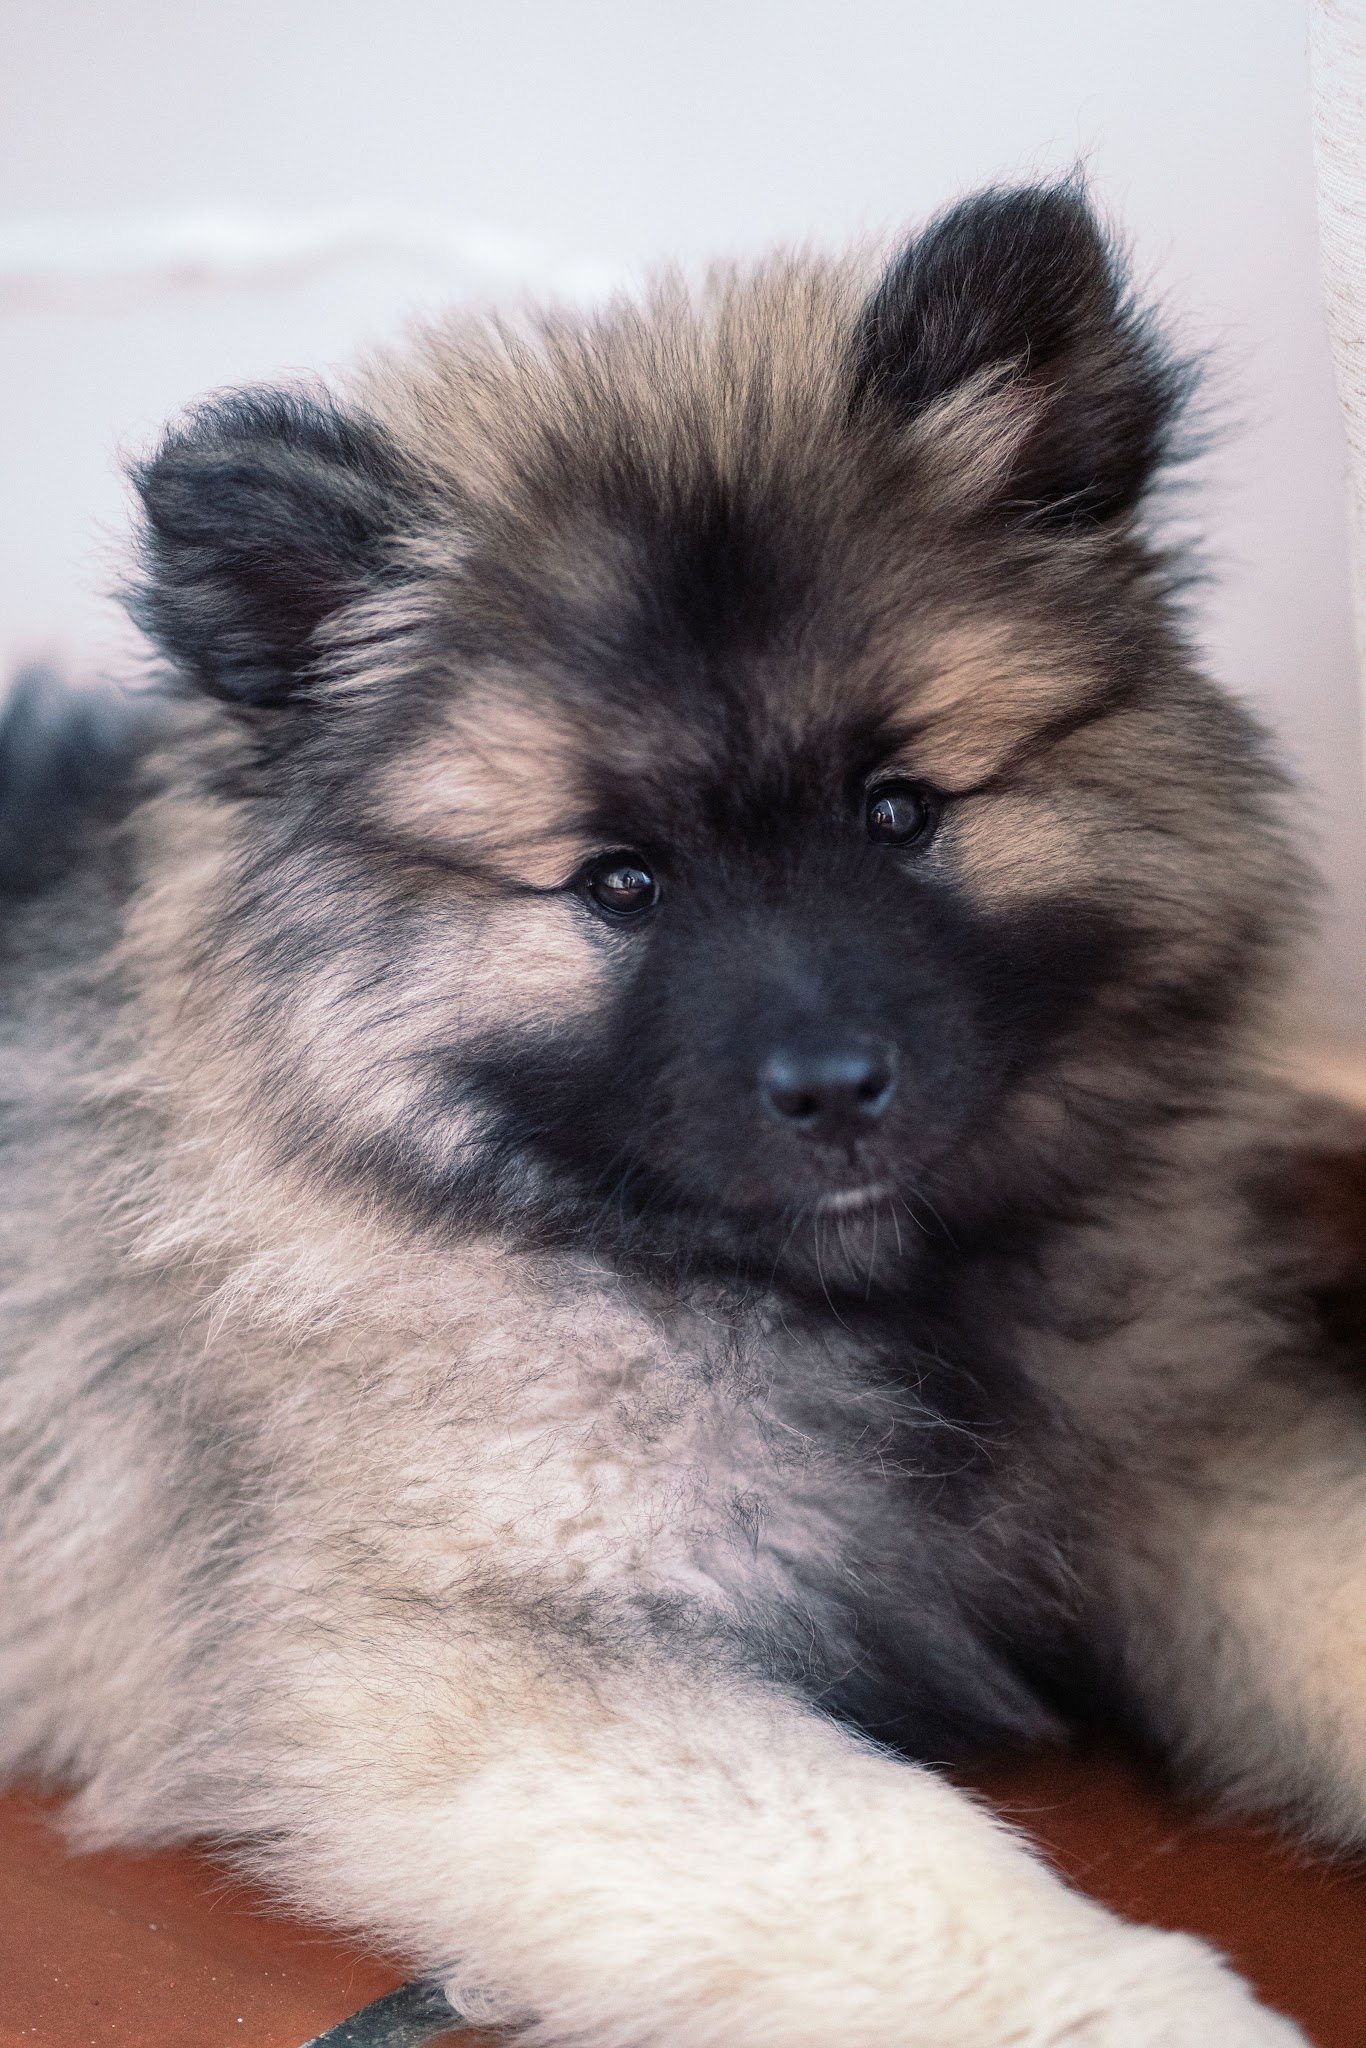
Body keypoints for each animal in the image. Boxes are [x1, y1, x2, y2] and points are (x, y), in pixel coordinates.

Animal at [1, 182, 1361, 2043]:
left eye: (898, 808)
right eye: (619, 883)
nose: (835, 1089)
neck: (843, 1296)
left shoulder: (1181, 1454)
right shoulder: (487, 1652)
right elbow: (917, 1873)